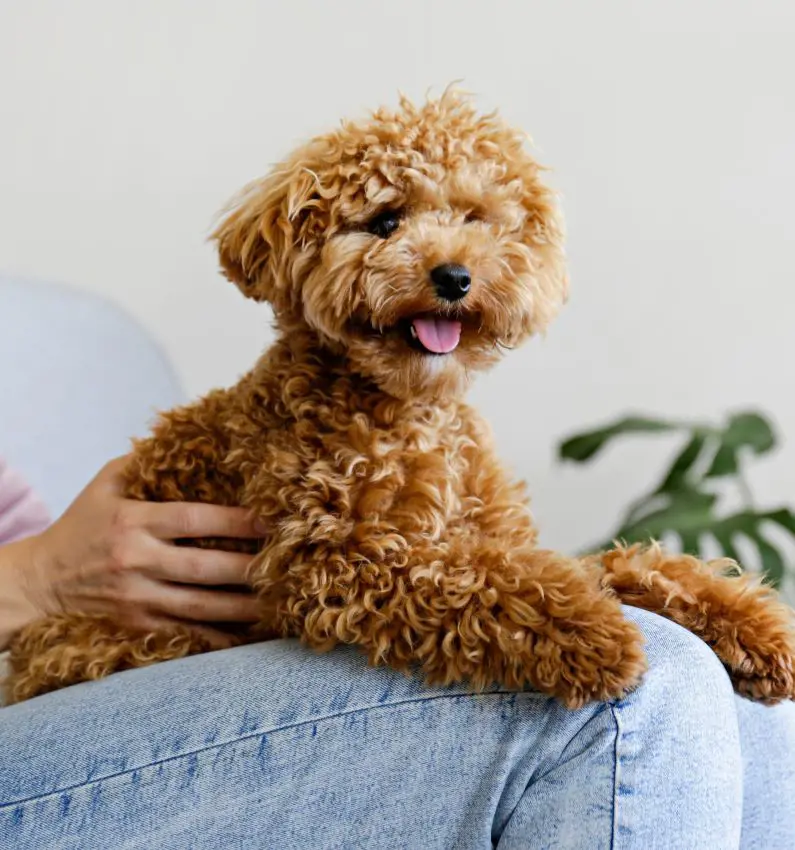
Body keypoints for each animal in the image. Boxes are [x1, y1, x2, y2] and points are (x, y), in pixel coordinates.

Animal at [6, 89, 795, 704]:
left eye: (476, 219)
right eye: (385, 221)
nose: (453, 276)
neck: (411, 413)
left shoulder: (500, 539)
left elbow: (612, 565)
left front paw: (753, 627)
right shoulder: (336, 561)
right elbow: (484, 581)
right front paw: (596, 635)